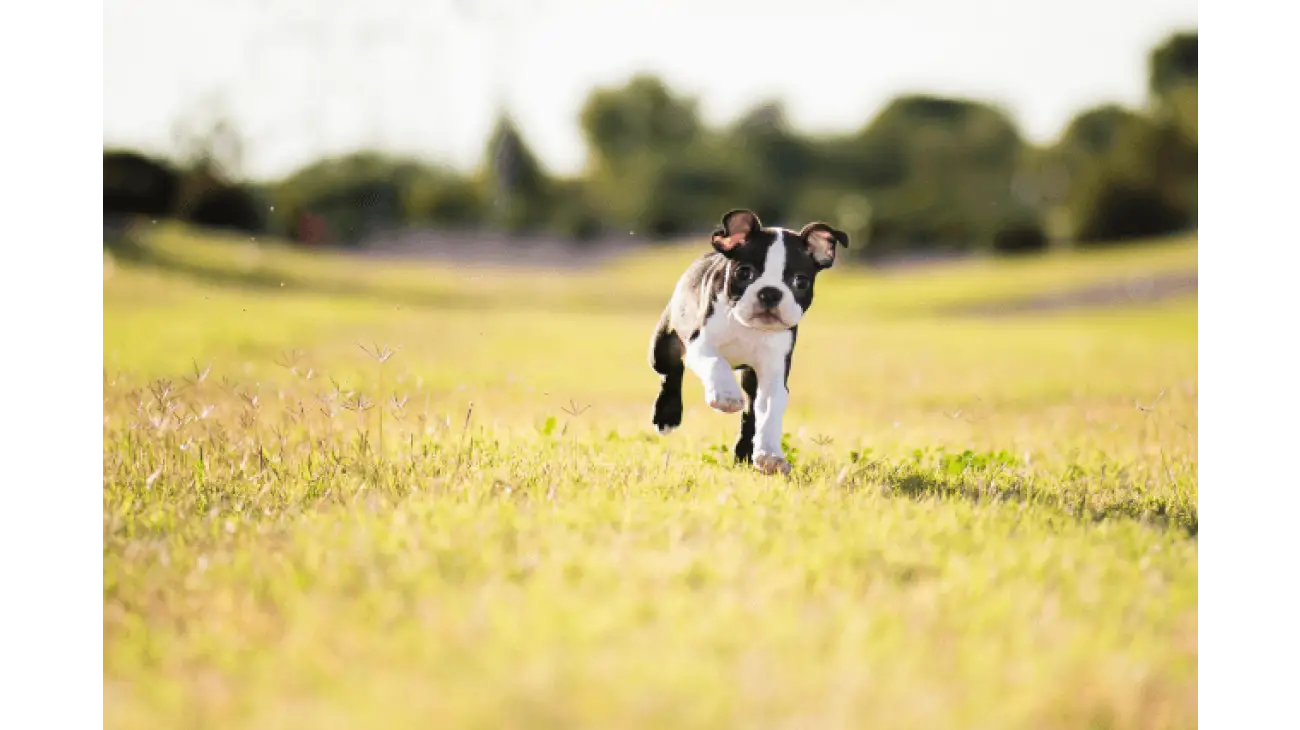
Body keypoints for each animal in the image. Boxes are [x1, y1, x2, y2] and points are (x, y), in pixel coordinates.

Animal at [650, 207, 852, 475]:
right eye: (744, 272)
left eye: (800, 281)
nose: (770, 292)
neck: (748, 327)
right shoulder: (700, 344)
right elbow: (715, 362)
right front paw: (725, 395)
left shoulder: (773, 373)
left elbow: (769, 411)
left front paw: (770, 455)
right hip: (663, 346)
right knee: (671, 371)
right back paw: (667, 416)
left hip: (750, 378)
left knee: (751, 411)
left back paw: (745, 452)